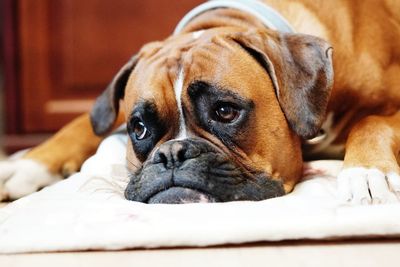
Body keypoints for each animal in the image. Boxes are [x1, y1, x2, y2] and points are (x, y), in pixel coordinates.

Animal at [0, 0, 400, 205]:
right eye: (139, 128)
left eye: (225, 111)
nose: (172, 154)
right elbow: (83, 121)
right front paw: (26, 166)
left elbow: (371, 122)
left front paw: (366, 173)